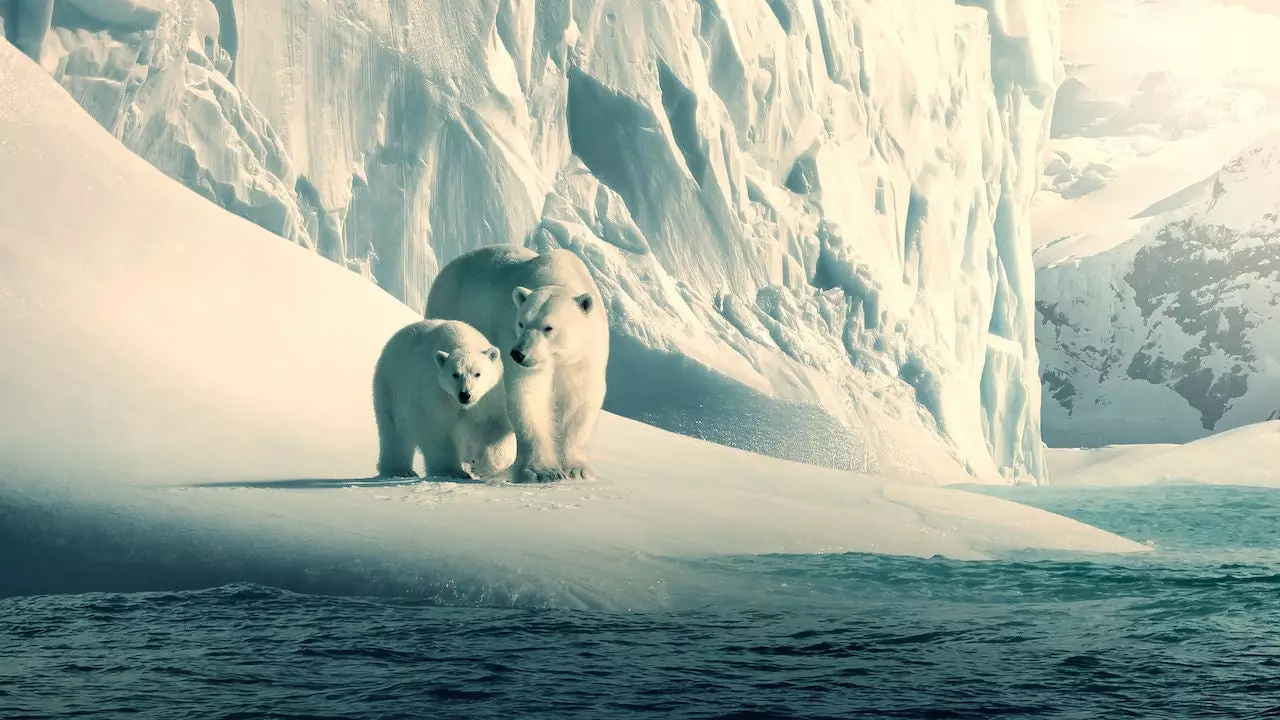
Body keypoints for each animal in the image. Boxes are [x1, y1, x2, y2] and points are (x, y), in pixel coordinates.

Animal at [371, 317, 514, 476]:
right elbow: (438, 428)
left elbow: (492, 424)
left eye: (477, 373)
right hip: (391, 387)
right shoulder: (437, 392)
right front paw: (451, 471)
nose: (465, 395)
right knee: (395, 430)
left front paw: (481, 464)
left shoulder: (486, 398)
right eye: (455, 374)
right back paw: (399, 470)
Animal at [424, 244, 609, 481]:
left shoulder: (584, 355)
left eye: (548, 327)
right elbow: (527, 395)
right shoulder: (511, 339)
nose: (518, 354)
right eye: (521, 323)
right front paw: (543, 471)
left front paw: (577, 469)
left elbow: (579, 400)